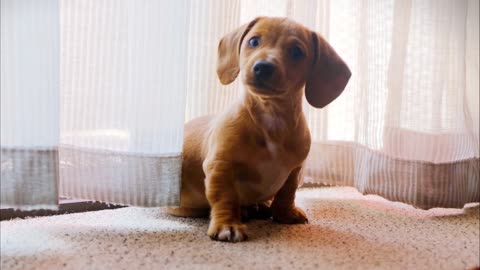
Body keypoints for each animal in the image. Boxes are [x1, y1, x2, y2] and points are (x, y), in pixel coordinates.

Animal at [167, 16, 350, 243]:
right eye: (253, 41)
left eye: (297, 52)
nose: (263, 67)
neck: (271, 118)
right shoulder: (220, 166)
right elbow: (225, 197)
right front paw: (227, 225)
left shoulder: (295, 170)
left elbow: (287, 193)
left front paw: (284, 214)